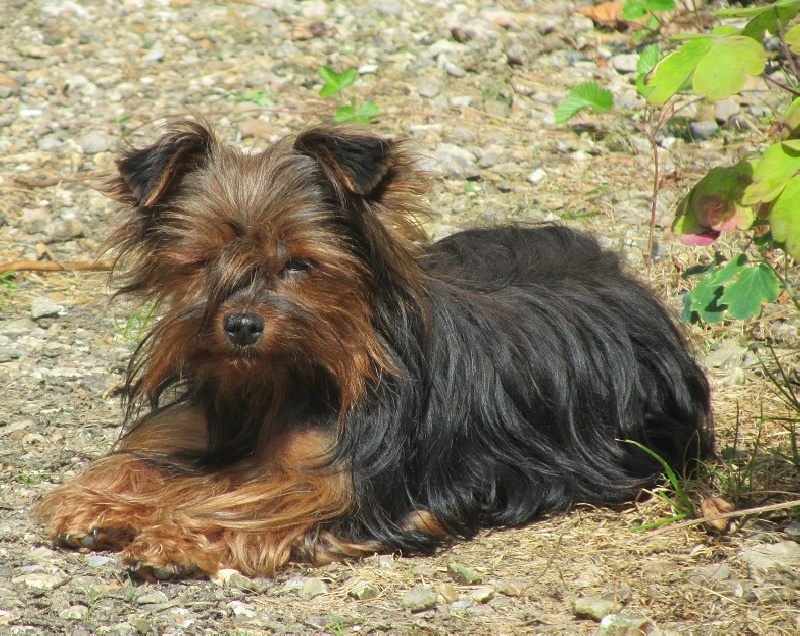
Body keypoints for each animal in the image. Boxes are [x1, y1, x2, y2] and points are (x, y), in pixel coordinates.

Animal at [34, 120, 716, 580]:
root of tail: (623, 278)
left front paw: (174, 538)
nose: (242, 326)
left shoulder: (349, 485)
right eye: (201, 262)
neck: (290, 380)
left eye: (301, 264)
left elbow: (253, 502)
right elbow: (153, 462)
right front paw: (97, 501)